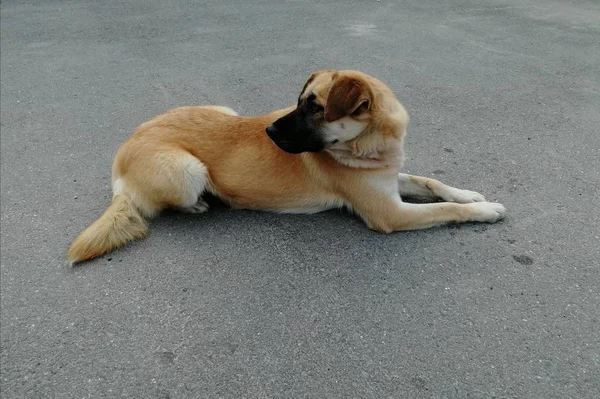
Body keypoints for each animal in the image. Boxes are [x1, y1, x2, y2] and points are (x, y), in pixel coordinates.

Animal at [67, 70, 506, 264]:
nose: (268, 129)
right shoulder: (389, 213)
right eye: (298, 102)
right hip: (188, 170)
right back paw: (200, 203)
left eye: (314, 107)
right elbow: (445, 209)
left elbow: (432, 183)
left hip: (224, 109)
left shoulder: (389, 181)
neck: (369, 145)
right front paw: (484, 210)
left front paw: (470, 194)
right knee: (172, 202)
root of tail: (123, 152)